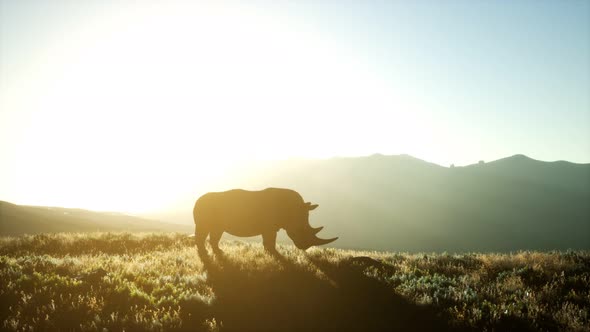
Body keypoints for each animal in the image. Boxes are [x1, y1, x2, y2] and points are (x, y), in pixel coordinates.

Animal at [194, 188, 338, 253]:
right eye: (300, 231)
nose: (304, 247)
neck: (293, 211)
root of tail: (197, 200)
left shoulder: (271, 227)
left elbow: (269, 241)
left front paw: (270, 252)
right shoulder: (269, 227)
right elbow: (270, 240)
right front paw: (273, 253)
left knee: (217, 231)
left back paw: (219, 252)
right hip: (204, 209)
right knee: (203, 229)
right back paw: (204, 253)